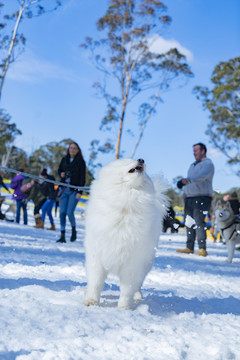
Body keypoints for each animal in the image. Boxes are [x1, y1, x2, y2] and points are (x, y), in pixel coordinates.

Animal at [83, 158, 168, 310]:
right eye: (126, 161)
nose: (141, 159)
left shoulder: (132, 263)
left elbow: (127, 289)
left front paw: (124, 307)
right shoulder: (96, 257)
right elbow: (95, 283)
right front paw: (91, 301)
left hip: (146, 263)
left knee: (138, 285)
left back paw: (138, 297)